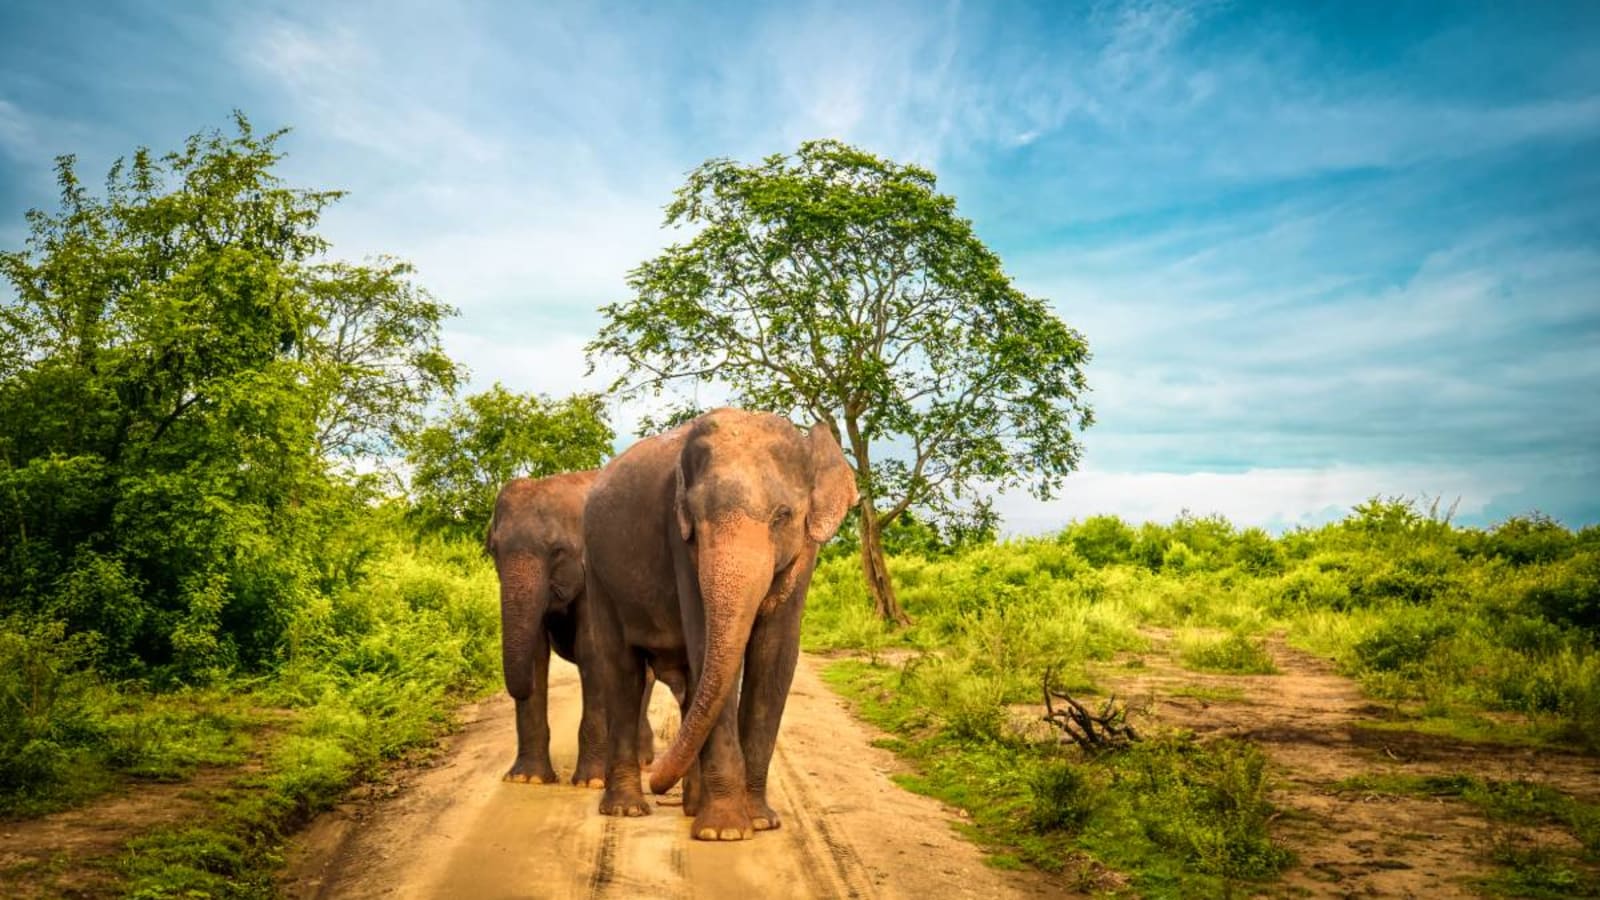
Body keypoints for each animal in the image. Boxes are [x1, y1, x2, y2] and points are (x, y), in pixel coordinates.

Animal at [486, 470, 666, 787]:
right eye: (493, 551)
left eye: (557, 551)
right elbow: (537, 655)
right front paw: (527, 779)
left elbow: (591, 651)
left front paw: (592, 782)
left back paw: (640, 761)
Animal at [580, 408, 857, 840]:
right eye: (694, 518)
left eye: (783, 516)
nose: (658, 781)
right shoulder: (679, 542)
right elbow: (705, 641)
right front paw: (724, 832)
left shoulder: (805, 551)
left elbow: (775, 655)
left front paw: (760, 820)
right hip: (597, 574)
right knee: (622, 669)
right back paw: (628, 810)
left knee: (689, 683)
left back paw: (691, 807)